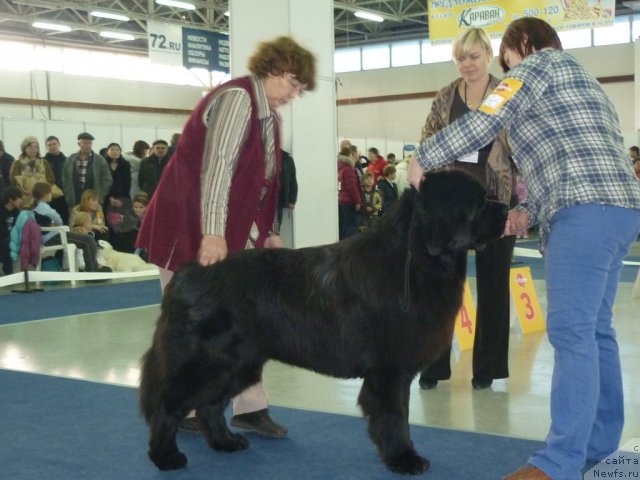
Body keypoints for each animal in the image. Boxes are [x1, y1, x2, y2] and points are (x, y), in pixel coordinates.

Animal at [141, 169, 510, 472]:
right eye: (479, 204)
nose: (507, 207)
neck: (415, 260)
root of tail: (188, 274)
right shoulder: (389, 370)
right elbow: (395, 416)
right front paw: (403, 459)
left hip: (238, 364)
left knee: (209, 405)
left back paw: (225, 443)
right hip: (207, 361)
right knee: (168, 404)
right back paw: (165, 456)